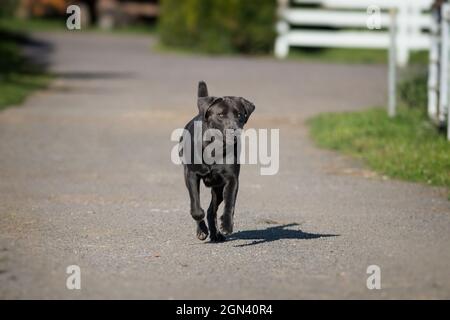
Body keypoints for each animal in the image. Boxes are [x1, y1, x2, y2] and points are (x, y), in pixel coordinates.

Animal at [181, 81, 255, 241]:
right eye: (221, 114)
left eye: (239, 115)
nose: (234, 130)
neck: (215, 147)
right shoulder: (192, 175)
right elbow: (196, 207)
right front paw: (202, 229)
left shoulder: (231, 179)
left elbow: (230, 203)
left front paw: (226, 225)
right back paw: (204, 230)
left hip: (218, 188)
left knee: (212, 210)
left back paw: (216, 234)